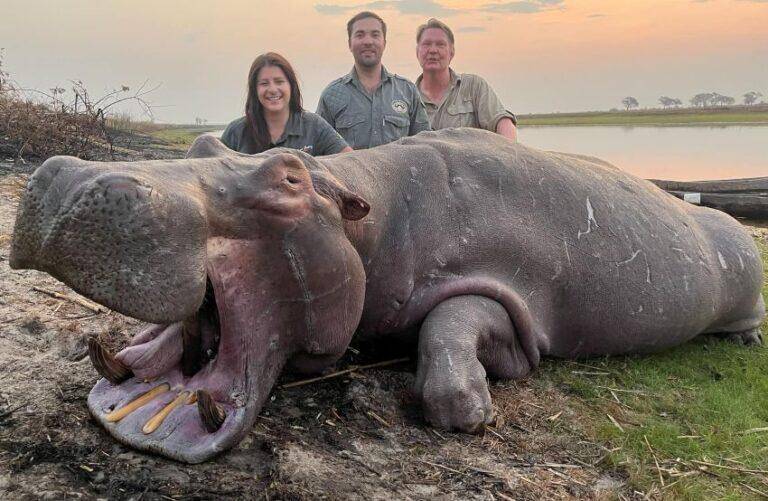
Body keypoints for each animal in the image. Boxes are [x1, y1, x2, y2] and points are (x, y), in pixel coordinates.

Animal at [10, 128, 765, 463]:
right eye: (199, 143)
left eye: (288, 176)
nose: (70, 177)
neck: (362, 211)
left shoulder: (508, 293)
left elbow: (454, 325)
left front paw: (468, 410)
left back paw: (748, 339)